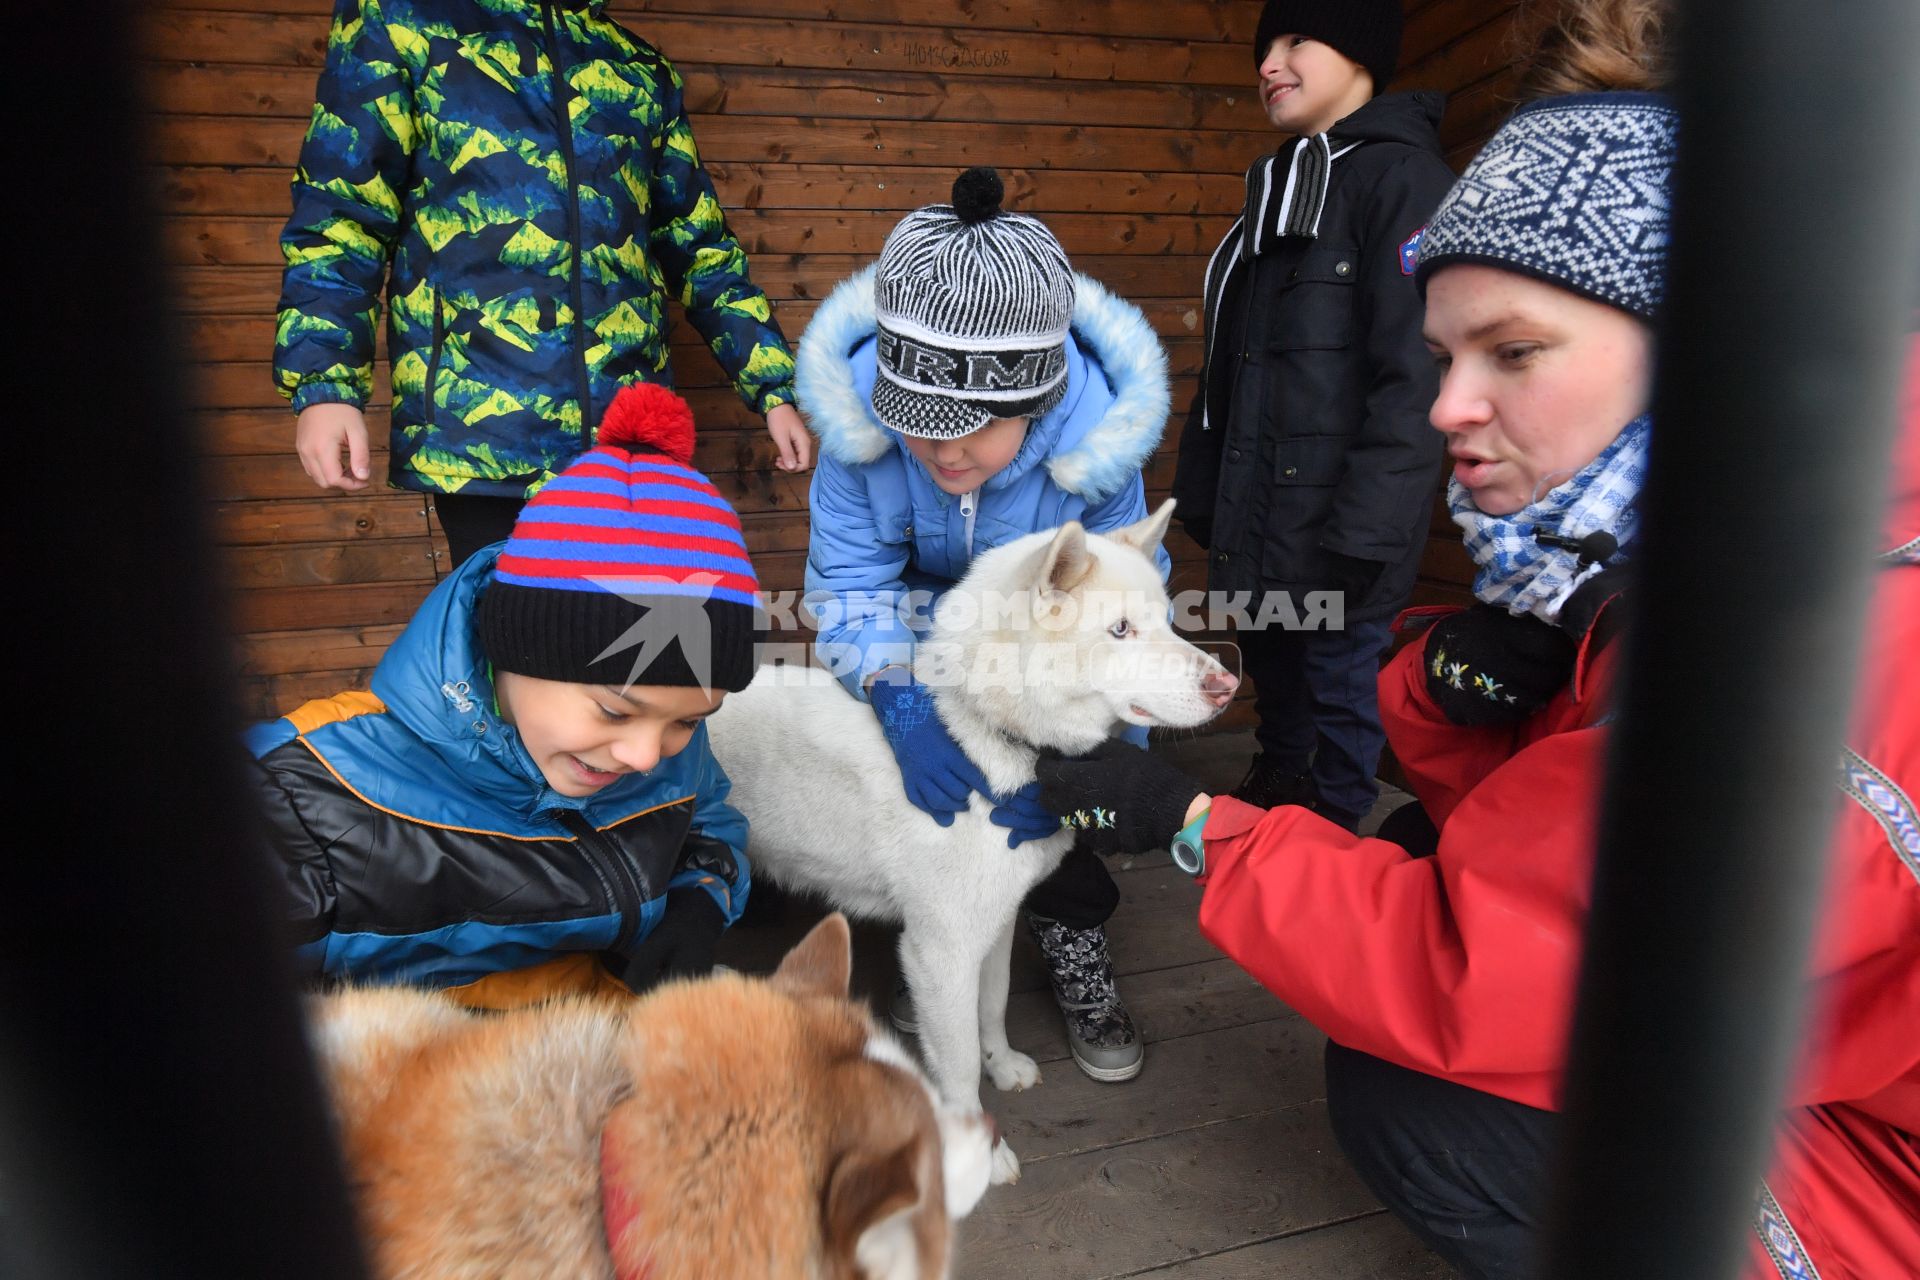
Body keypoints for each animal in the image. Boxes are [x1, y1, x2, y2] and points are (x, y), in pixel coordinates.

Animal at [706, 498, 1228, 1182]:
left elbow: (993, 1007)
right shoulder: (940, 954)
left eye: (1167, 621)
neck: (984, 739)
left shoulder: (995, 927)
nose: (1227, 686)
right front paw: (977, 1153)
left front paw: (1001, 1066)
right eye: (1119, 630)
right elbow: (954, 1069)